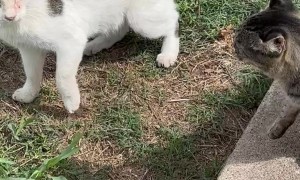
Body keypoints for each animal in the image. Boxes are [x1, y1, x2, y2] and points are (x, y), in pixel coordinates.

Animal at [0, 0, 179, 112]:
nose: (10, 16)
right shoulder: (29, 47)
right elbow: (31, 74)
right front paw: (29, 93)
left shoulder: (71, 40)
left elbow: (62, 76)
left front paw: (71, 100)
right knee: (119, 29)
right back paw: (95, 45)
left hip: (142, 19)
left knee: (173, 19)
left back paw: (169, 53)